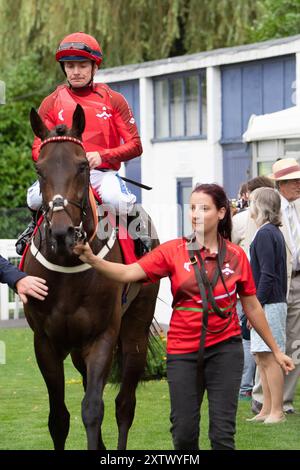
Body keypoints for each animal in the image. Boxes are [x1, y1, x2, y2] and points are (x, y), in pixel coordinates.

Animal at [22, 104, 159, 450]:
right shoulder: (46, 341)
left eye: (83, 165)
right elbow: (59, 418)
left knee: (125, 404)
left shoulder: (102, 336)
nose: (62, 233)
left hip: (134, 332)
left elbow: (93, 409)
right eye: (39, 169)